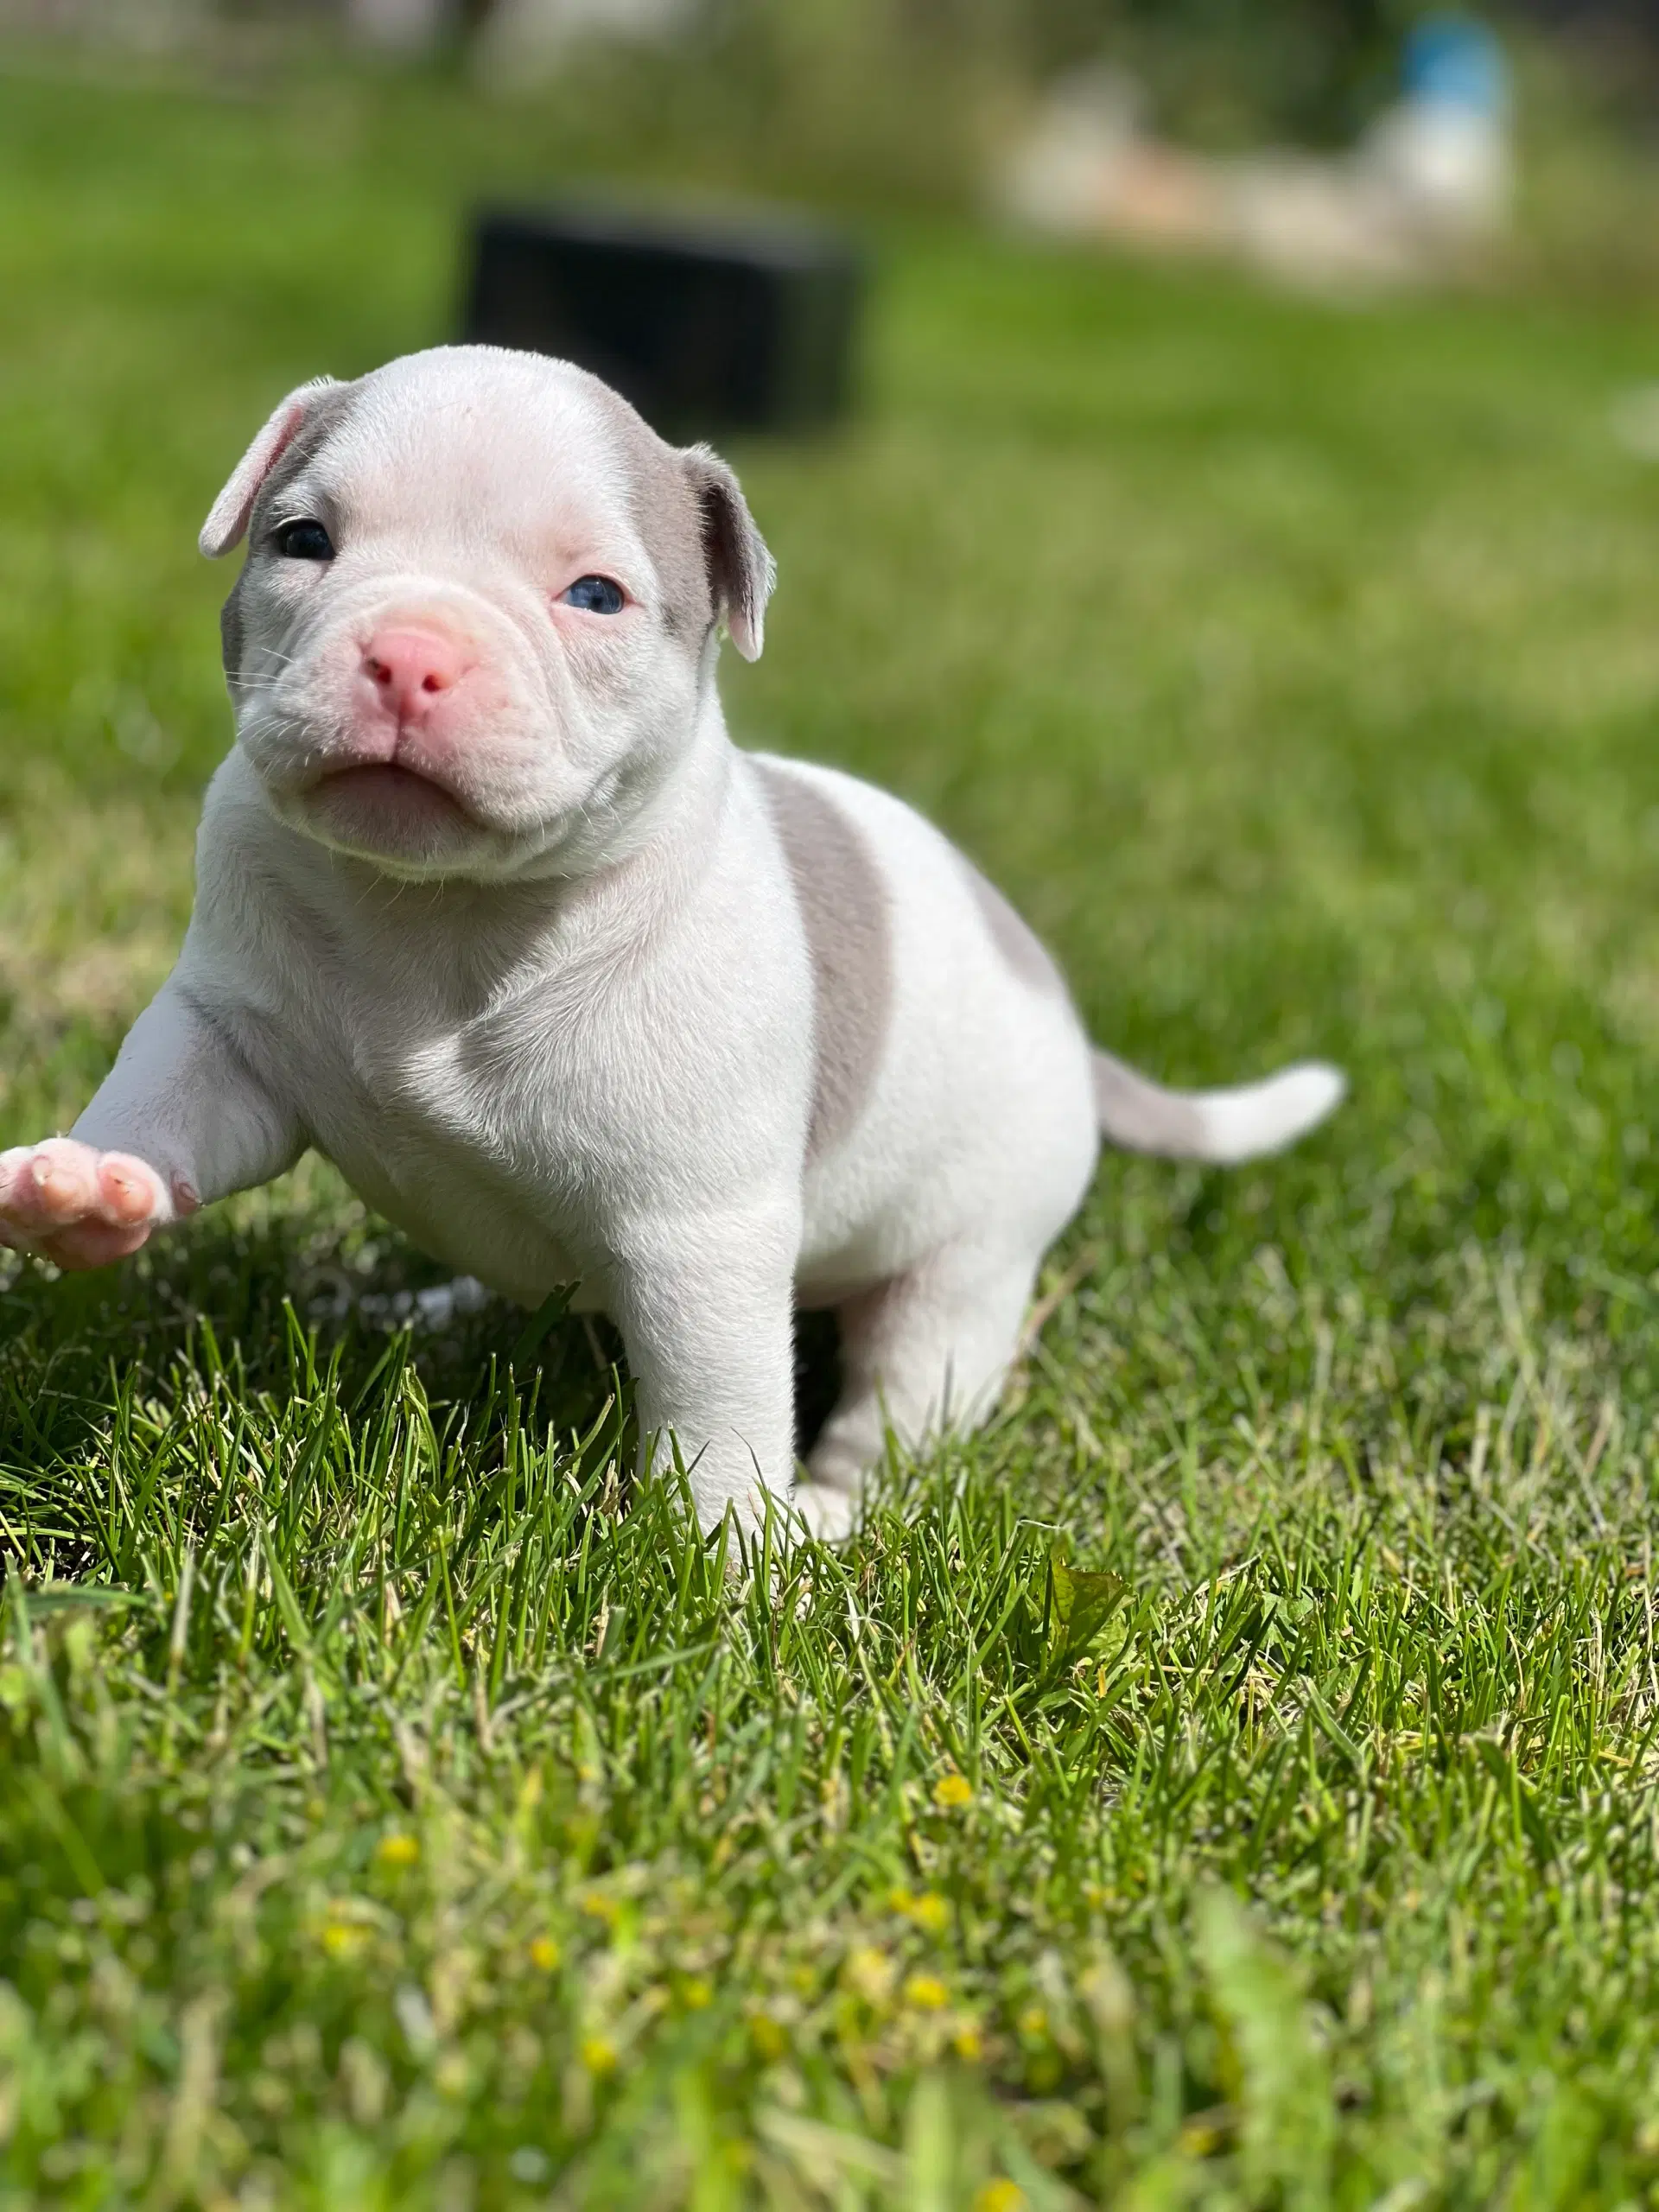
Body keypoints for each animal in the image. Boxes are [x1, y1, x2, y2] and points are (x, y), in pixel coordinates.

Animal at [0, 340, 1353, 1539]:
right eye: (303, 541)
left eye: (595, 596)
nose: (410, 656)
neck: (442, 910)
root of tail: (1066, 1017)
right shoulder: (234, 1034)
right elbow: (171, 1098)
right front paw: (89, 1190)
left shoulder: (697, 1235)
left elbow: (717, 1401)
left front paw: (724, 1552)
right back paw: (413, 1306)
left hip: (966, 1264)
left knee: (902, 1399)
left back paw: (828, 1512)